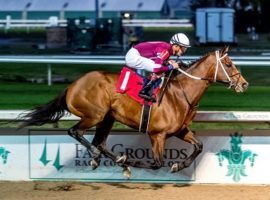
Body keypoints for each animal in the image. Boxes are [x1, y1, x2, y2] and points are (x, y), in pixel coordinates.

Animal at [19, 46, 247, 177]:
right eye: (228, 63)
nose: (244, 84)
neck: (181, 93)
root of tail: (72, 85)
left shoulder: (180, 130)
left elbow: (199, 146)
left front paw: (177, 166)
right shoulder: (157, 134)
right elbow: (156, 163)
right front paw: (131, 161)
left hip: (107, 118)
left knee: (99, 142)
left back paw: (113, 161)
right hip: (94, 115)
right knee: (76, 132)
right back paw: (101, 158)